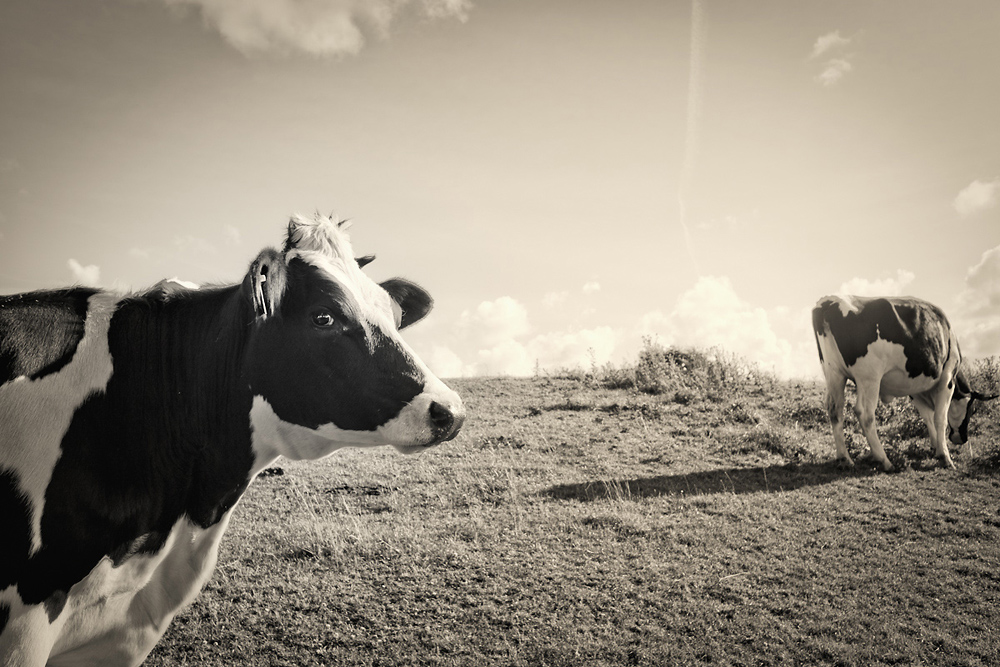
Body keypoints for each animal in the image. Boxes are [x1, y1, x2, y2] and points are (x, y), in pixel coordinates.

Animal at [816, 294, 996, 472]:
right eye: (972, 410)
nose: (962, 439)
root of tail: (829, 301)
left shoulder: (915, 389)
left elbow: (927, 416)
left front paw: (935, 447)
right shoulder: (947, 378)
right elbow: (939, 418)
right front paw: (945, 457)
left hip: (834, 373)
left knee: (835, 410)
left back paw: (844, 459)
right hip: (869, 377)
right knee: (865, 414)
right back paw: (884, 460)